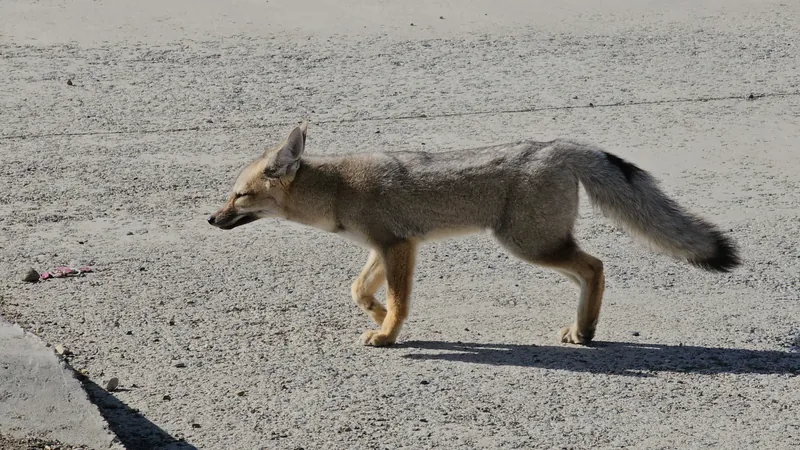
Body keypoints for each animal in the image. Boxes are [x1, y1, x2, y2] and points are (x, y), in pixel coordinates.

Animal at [208, 120, 740, 347]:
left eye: (238, 197)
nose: (211, 220)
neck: (339, 188)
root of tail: (558, 144)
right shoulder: (389, 246)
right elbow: (358, 288)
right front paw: (376, 315)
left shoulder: (398, 245)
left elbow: (400, 301)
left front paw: (388, 334)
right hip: (538, 244)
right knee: (590, 271)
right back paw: (582, 329)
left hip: (528, 244)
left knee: (595, 266)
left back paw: (586, 331)